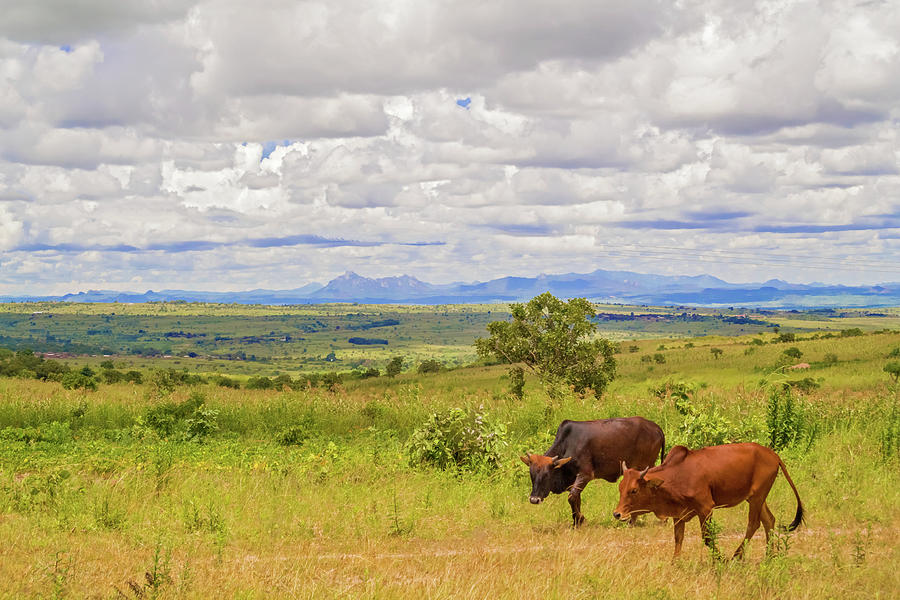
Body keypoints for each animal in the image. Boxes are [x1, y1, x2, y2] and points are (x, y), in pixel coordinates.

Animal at [524, 414, 664, 528]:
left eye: (547, 475)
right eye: (532, 474)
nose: (534, 499)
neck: (568, 444)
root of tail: (657, 428)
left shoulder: (585, 475)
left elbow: (572, 498)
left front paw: (580, 519)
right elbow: (576, 499)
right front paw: (577, 522)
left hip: (645, 467)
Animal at [616, 442, 804, 560]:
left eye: (634, 490)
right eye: (620, 488)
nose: (617, 514)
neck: (677, 475)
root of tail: (773, 455)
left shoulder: (705, 508)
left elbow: (708, 539)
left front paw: (720, 560)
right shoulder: (679, 514)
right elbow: (678, 539)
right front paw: (675, 563)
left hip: (757, 497)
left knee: (753, 524)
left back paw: (736, 556)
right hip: (755, 498)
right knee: (769, 520)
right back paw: (769, 556)